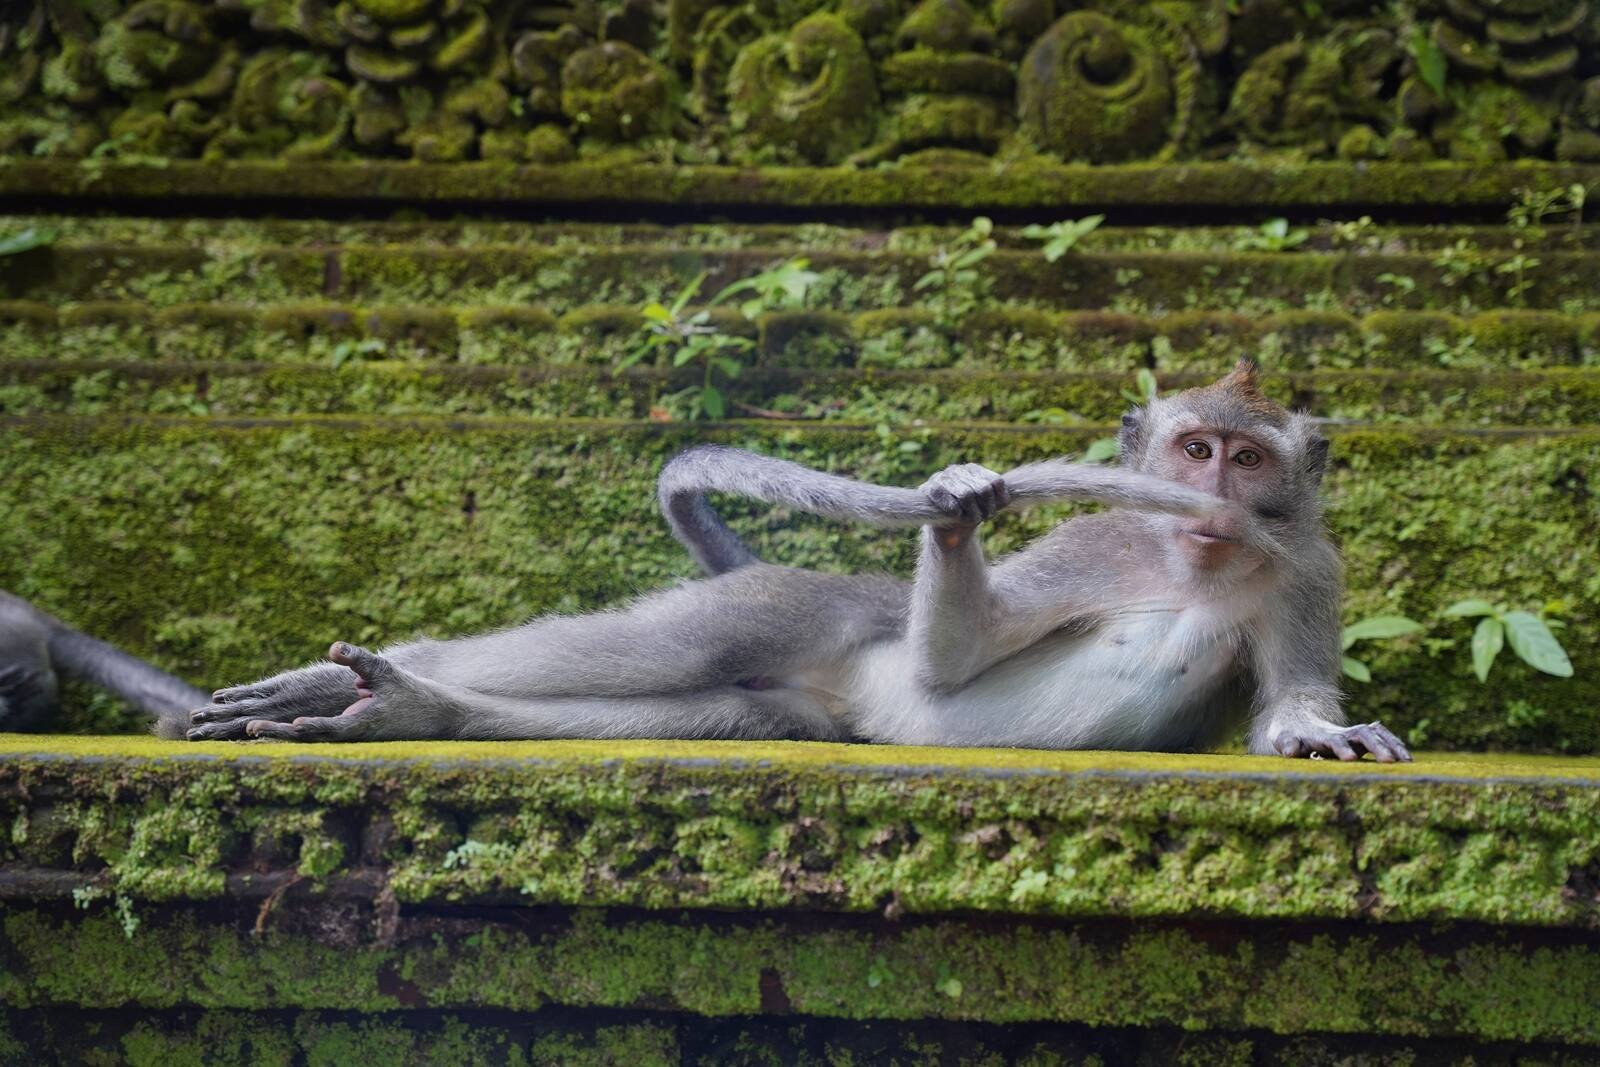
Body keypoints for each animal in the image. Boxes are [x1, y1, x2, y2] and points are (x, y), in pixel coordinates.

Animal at [180, 360, 1410, 762]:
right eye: (1194, 449)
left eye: (1248, 455)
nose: (1218, 499)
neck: (1191, 564)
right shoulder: (1093, 543)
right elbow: (957, 661)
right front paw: (959, 504)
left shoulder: (1309, 570)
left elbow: (1288, 696)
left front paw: (1319, 732)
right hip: (799, 604)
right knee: (668, 647)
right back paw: (368, 680)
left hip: (805, 709)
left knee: (715, 707)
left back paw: (416, 710)